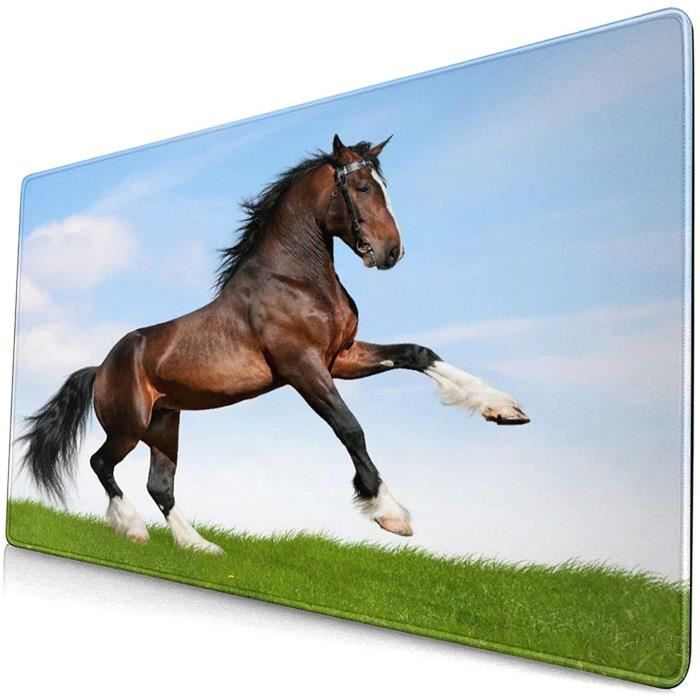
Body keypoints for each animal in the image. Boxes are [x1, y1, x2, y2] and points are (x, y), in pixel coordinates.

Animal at [19, 134, 530, 554]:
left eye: (383, 185)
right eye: (363, 188)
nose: (391, 252)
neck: (295, 280)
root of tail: (101, 367)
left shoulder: (341, 357)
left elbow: (417, 354)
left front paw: (504, 409)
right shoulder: (304, 367)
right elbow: (350, 428)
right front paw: (390, 514)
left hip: (164, 426)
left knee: (159, 486)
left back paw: (200, 547)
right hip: (129, 425)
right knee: (101, 463)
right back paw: (132, 529)